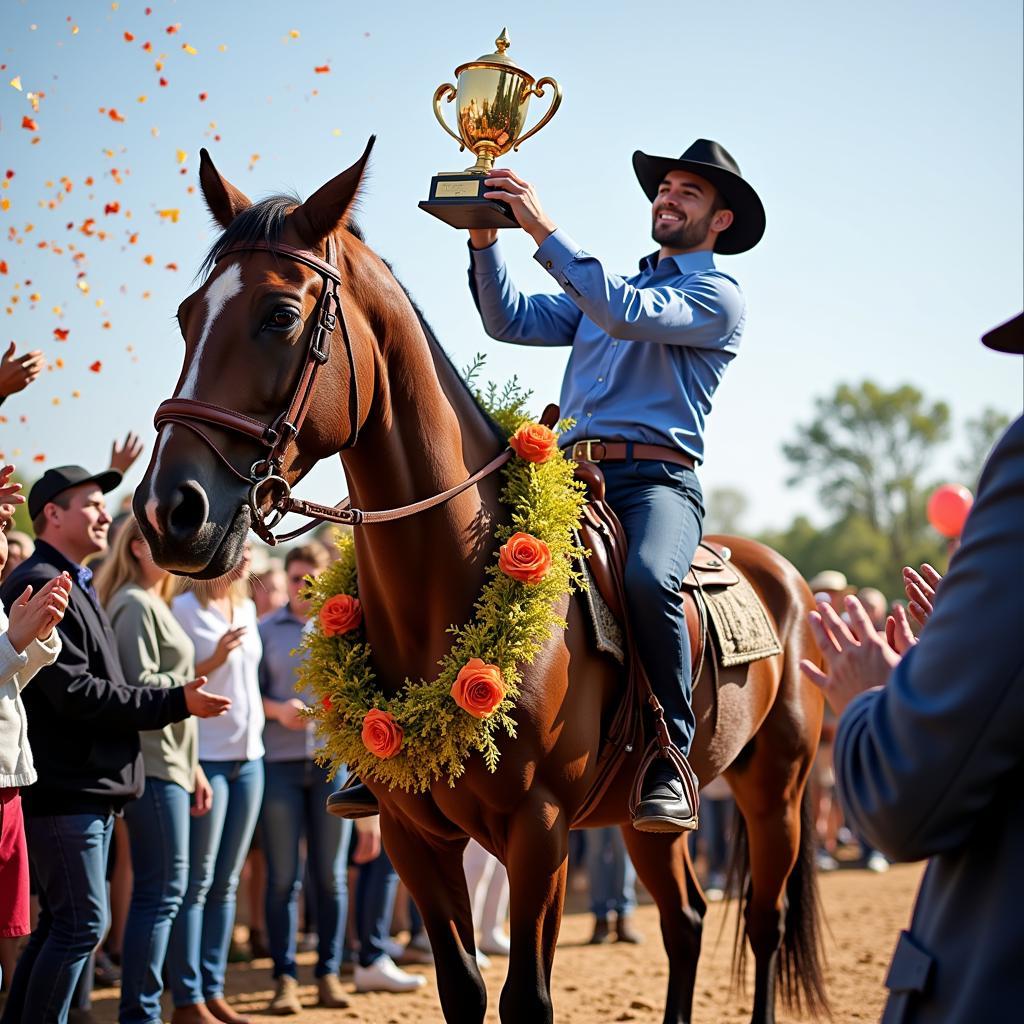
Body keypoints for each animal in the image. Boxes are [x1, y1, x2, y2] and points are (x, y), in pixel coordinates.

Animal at [136, 142, 827, 1024]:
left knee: (762, 924)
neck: (443, 593)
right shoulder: (412, 834)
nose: (168, 512)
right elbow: (462, 988)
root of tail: (789, 582)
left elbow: (527, 997)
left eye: (279, 316)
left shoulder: (540, 830)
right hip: (648, 823)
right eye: (187, 315)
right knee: (686, 921)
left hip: (776, 790)